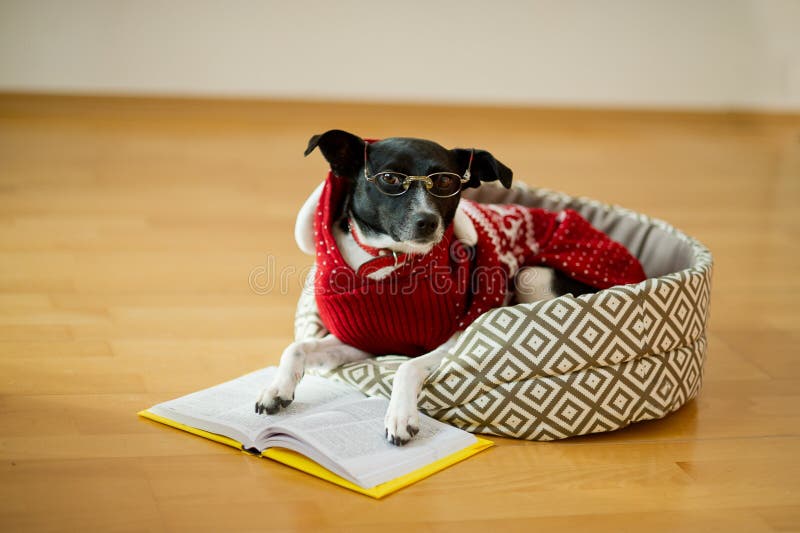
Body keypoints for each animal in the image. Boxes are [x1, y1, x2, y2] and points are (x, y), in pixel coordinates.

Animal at [256, 130, 648, 444]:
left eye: (446, 182)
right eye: (390, 178)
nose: (426, 221)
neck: (388, 262)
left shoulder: (451, 338)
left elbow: (406, 368)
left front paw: (400, 417)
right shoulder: (363, 342)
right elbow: (298, 347)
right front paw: (276, 388)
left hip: (531, 275)